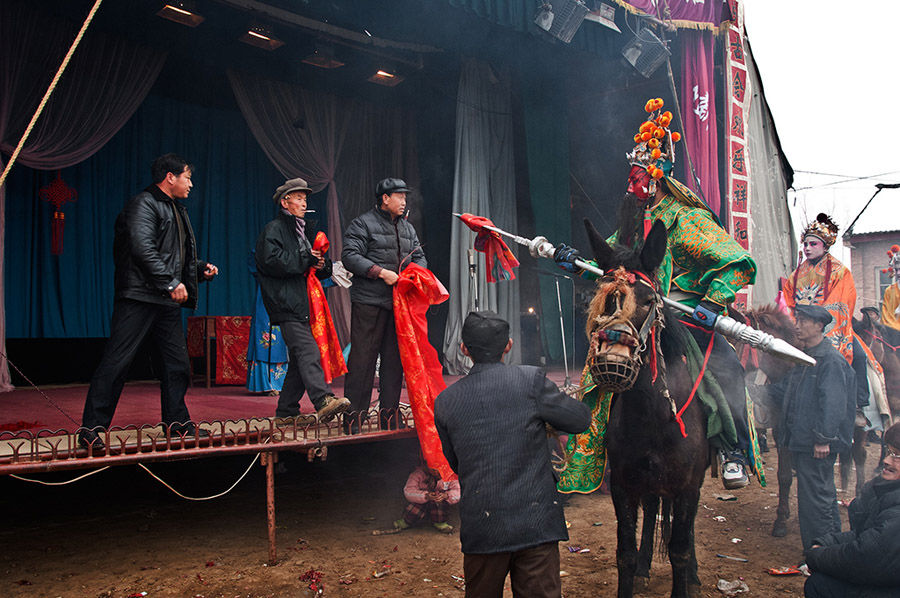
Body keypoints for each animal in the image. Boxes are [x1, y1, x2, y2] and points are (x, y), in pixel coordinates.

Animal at [584, 223, 712, 598]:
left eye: (649, 301)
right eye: (600, 298)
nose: (612, 363)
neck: (654, 417)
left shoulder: (687, 486)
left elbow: (680, 549)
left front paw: (687, 577)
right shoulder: (624, 484)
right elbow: (624, 553)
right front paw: (635, 566)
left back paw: (694, 573)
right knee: (654, 507)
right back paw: (644, 566)